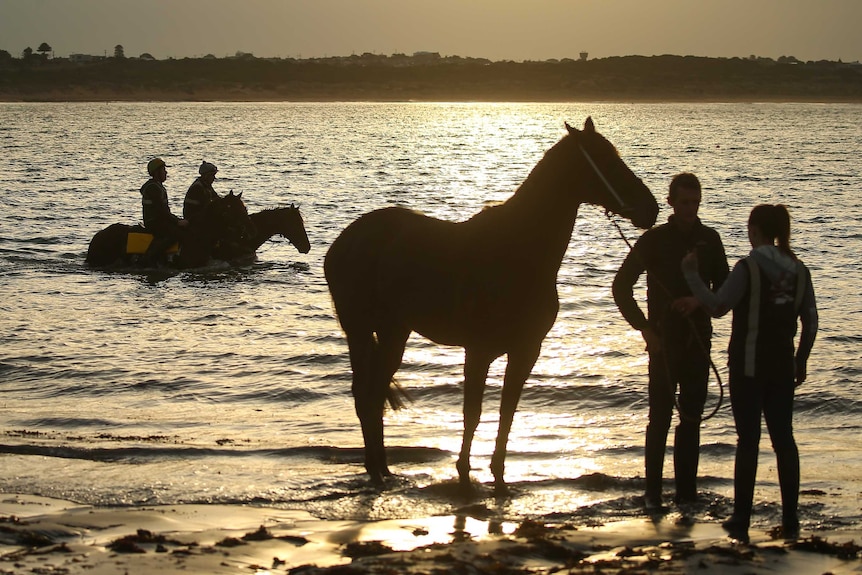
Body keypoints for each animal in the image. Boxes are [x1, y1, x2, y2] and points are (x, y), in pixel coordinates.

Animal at [328, 118, 660, 496]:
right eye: (605, 160)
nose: (650, 208)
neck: (517, 251)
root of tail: (344, 241)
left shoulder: (525, 351)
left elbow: (506, 412)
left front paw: (499, 475)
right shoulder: (479, 350)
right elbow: (473, 412)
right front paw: (464, 471)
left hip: (393, 332)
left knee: (375, 394)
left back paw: (383, 467)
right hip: (359, 330)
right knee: (365, 396)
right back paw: (375, 470)